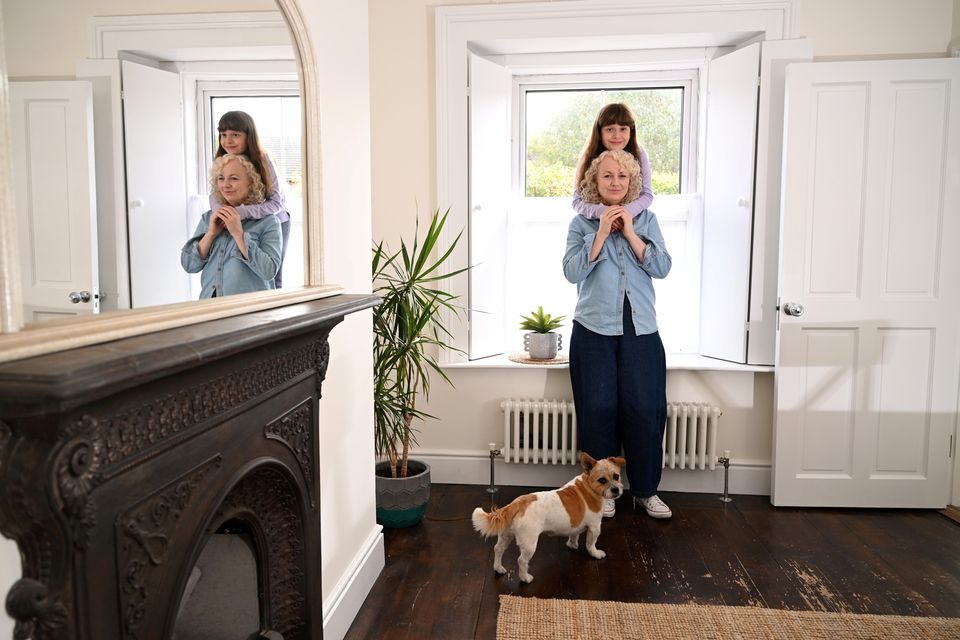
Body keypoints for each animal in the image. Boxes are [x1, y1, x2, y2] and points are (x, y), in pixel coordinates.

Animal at [470, 452, 624, 584]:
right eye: (602, 480)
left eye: (616, 476)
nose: (616, 490)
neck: (588, 486)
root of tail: (517, 504)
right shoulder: (595, 527)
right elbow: (591, 544)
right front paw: (596, 554)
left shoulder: (575, 525)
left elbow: (574, 534)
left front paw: (572, 544)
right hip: (529, 544)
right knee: (521, 561)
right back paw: (525, 578)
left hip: (506, 535)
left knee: (498, 549)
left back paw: (498, 568)